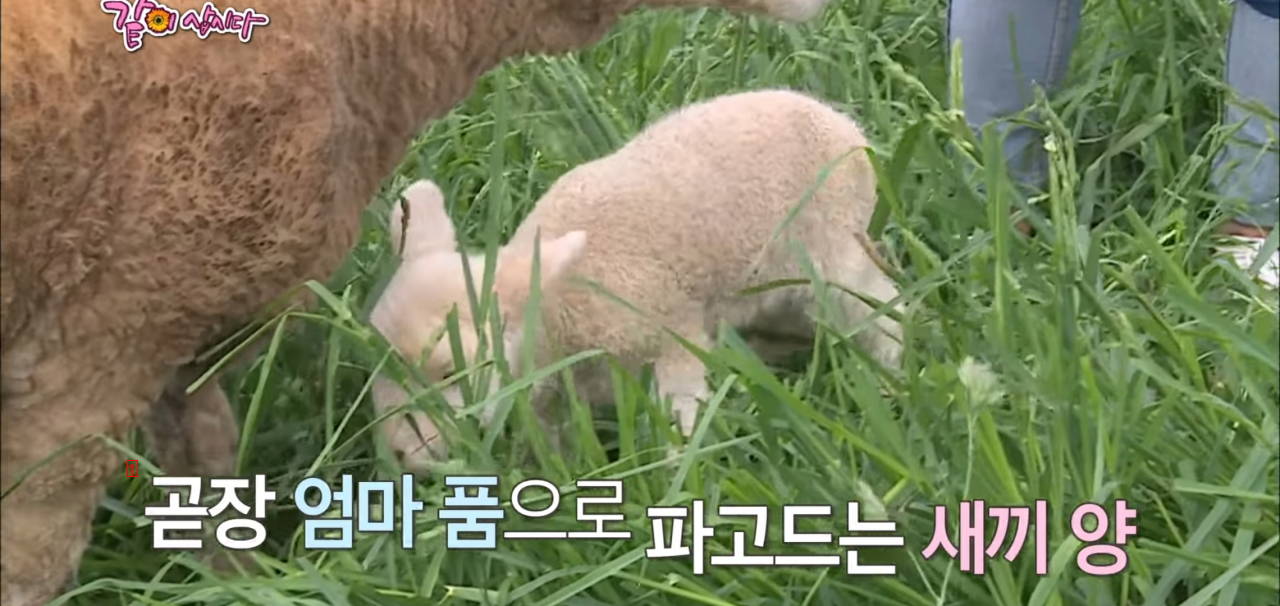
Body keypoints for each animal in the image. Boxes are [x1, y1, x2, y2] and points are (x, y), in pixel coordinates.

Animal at [0, 1, 829, 604]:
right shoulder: (106, 330)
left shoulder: (182, 323)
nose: (408, 461)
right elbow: (34, 547)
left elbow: (207, 465)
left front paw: (245, 585)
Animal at [368, 88, 911, 471]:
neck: (558, 311)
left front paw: (675, 483)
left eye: (449, 371)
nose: (398, 455)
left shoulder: (671, 340)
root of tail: (845, 127)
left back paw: (891, 385)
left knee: (884, 311)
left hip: (836, 254)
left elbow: (679, 416)